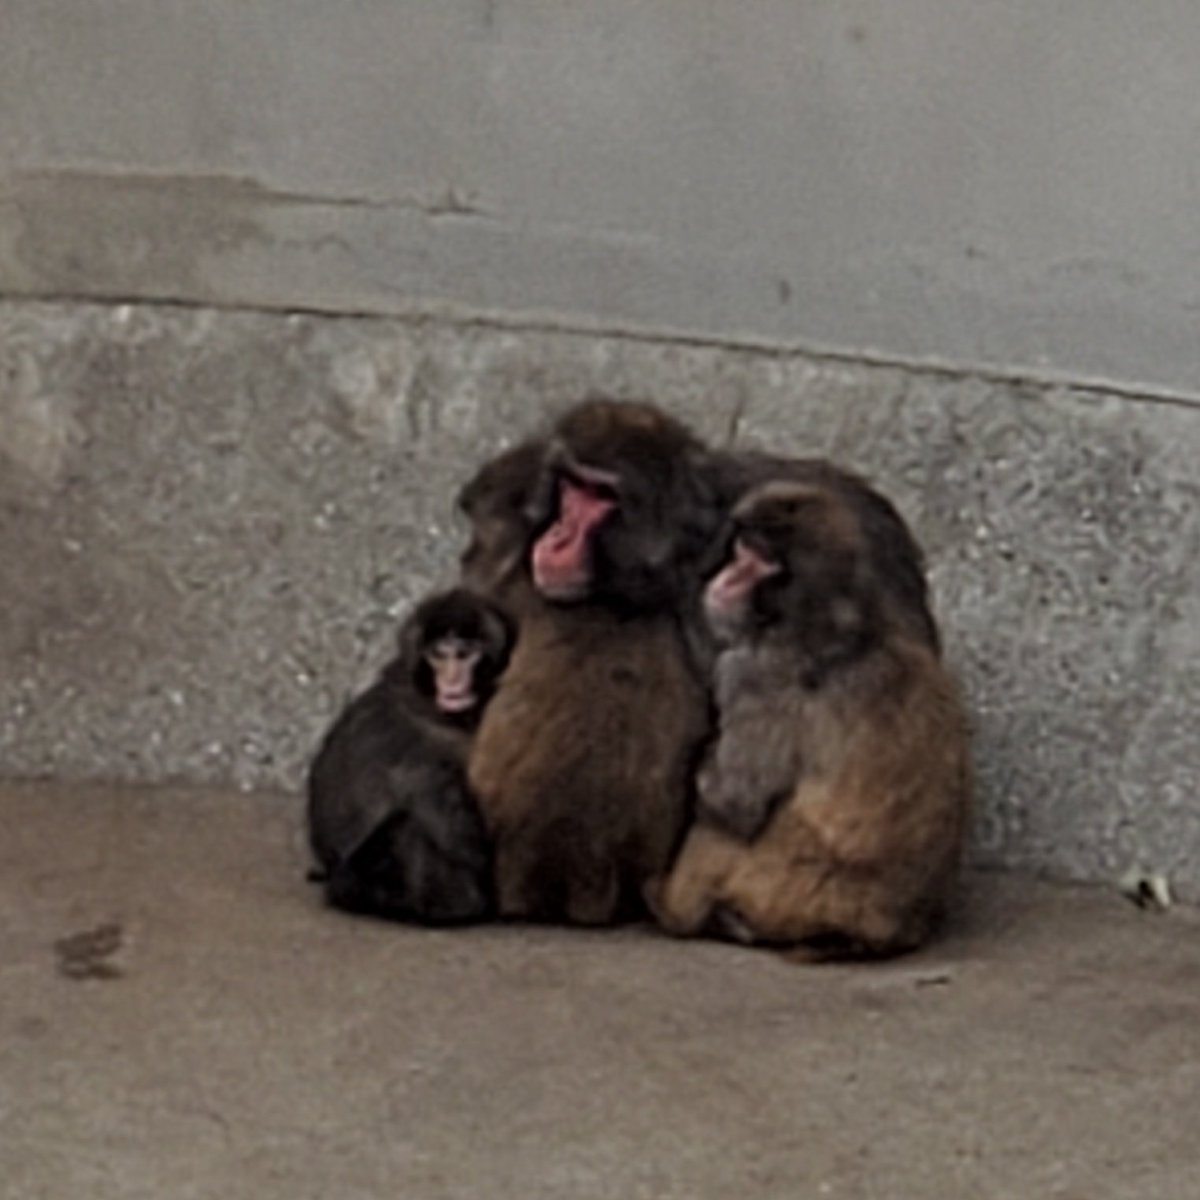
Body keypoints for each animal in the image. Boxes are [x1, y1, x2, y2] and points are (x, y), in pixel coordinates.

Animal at [306, 588, 515, 924]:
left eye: (465, 654)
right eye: (439, 655)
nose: (452, 680)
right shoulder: (415, 744)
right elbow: (466, 846)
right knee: (407, 825)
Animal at [648, 478, 971, 959]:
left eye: (758, 557)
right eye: (743, 548)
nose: (721, 576)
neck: (837, 625)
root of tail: (884, 932)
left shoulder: (750, 673)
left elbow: (733, 806)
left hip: (774, 888)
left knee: (721, 830)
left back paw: (670, 906)